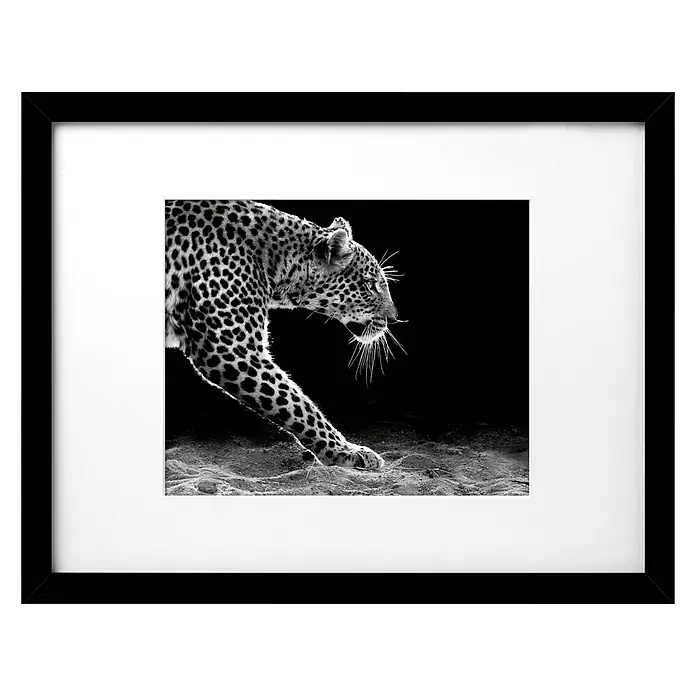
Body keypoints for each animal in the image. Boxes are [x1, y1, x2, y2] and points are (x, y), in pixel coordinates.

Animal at [165, 200, 402, 470]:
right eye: (370, 285)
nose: (395, 318)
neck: (276, 261)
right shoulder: (232, 349)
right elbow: (296, 405)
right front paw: (346, 451)